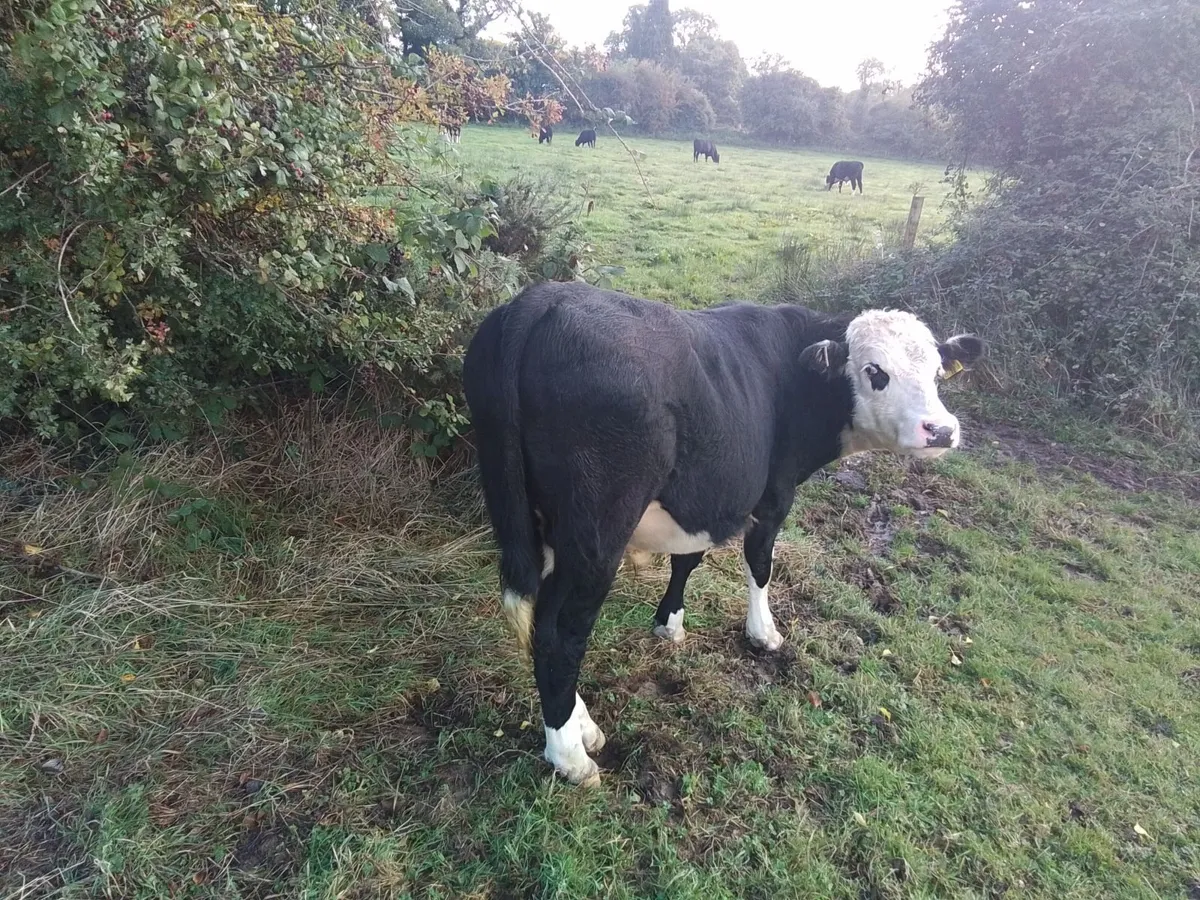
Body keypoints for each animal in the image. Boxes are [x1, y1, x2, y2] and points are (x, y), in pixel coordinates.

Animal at [462, 281, 983, 787]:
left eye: (937, 372)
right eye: (876, 371)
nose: (940, 430)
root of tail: (543, 298)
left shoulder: (707, 499)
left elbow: (687, 558)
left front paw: (670, 622)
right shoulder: (773, 494)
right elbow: (760, 562)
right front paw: (763, 632)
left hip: (539, 519)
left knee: (538, 622)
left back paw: (580, 724)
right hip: (595, 533)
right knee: (559, 631)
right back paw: (569, 756)